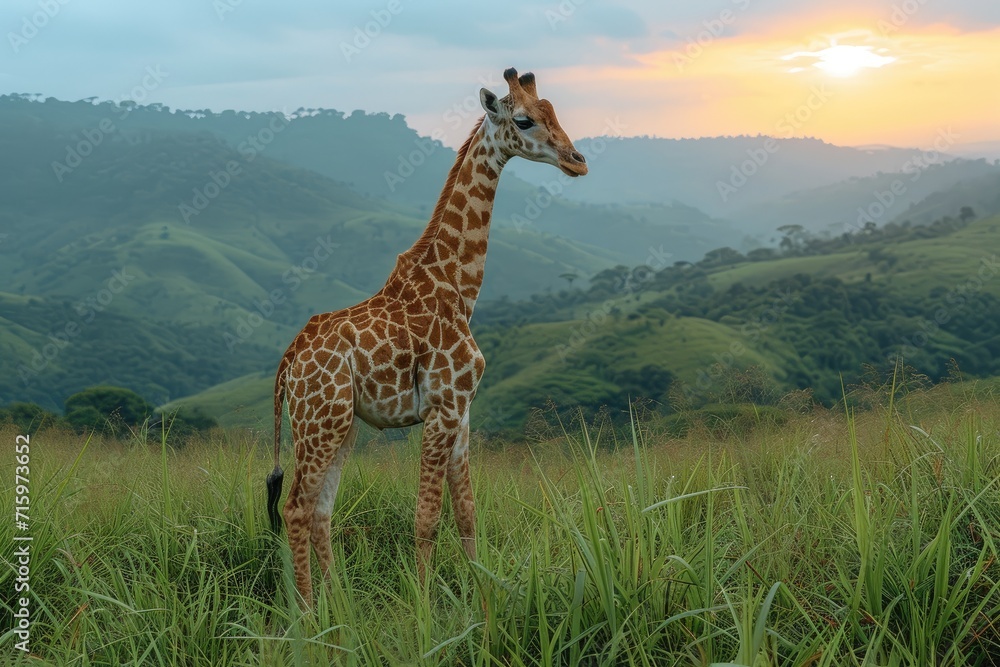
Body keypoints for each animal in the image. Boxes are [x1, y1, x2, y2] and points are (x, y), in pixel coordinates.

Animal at [265, 67, 588, 607]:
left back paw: (340, 606)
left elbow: (467, 514)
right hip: (318, 421)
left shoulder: (462, 412)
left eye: (554, 112)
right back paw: (309, 613)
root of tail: (289, 361)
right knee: (295, 509)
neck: (458, 287)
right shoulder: (441, 409)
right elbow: (426, 518)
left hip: (341, 426)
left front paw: (483, 598)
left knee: (320, 510)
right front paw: (423, 607)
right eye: (524, 119)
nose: (576, 161)